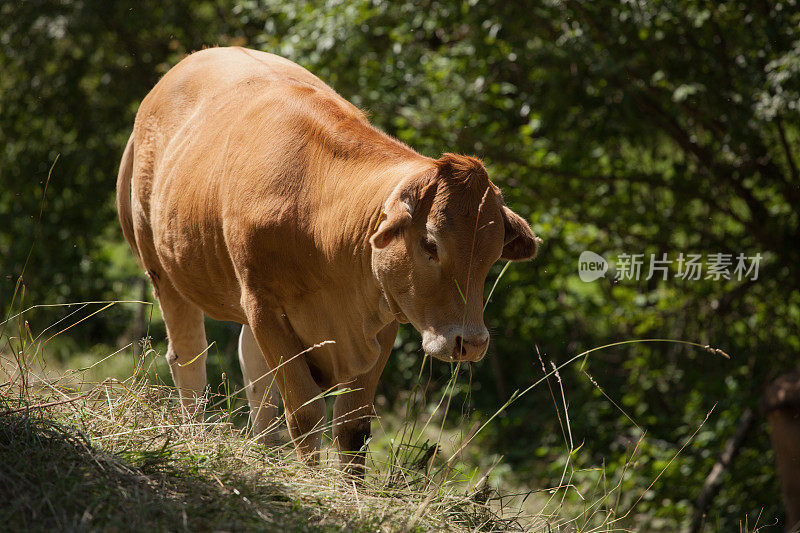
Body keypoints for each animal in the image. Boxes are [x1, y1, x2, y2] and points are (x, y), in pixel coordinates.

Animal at [115, 45, 536, 470]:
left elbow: (352, 427)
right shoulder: (264, 306)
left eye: (492, 256)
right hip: (163, 271)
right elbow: (305, 414)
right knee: (189, 358)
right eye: (431, 244)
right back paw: (195, 433)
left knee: (256, 375)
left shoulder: (382, 317)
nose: (472, 342)